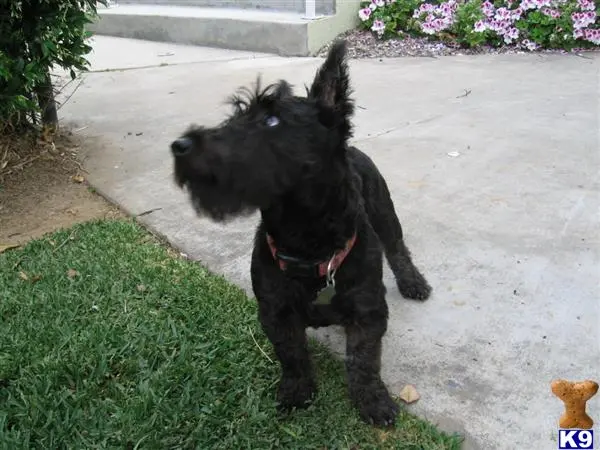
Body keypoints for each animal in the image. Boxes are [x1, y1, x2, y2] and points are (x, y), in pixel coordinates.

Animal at [169, 40, 432, 428]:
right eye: (234, 116)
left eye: (271, 120)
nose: (180, 146)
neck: (307, 238)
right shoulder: (275, 311)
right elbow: (291, 354)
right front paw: (297, 390)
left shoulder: (368, 310)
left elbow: (363, 359)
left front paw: (372, 400)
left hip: (385, 212)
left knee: (398, 248)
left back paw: (413, 282)